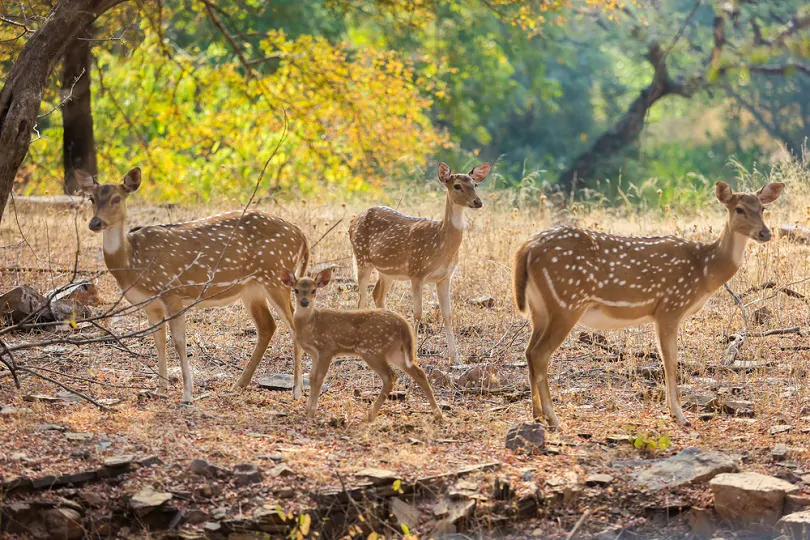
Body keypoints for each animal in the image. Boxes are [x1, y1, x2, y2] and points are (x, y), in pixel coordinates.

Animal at [77, 167, 310, 402]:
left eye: (117, 198)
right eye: (92, 198)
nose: (95, 223)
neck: (131, 261)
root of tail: (301, 235)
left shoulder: (171, 291)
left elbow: (179, 341)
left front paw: (187, 394)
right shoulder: (150, 305)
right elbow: (159, 341)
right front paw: (160, 389)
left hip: (276, 276)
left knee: (292, 326)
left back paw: (297, 390)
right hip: (252, 289)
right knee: (267, 326)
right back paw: (238, 385)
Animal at [280, 268, 442, 424]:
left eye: (314, 290)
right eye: (296, 290)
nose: (304, 302)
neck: (309, 323)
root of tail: (404, 325)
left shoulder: (327, 348)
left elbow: (318, 378)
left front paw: (311, 414)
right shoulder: (315, 354)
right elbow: (312, 376)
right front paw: (307, 411)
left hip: (373, 350)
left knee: (390, 377)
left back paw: (370, 415)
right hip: (395, 351)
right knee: (419, 372)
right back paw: (437, 414)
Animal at [348, 161, 490, 362]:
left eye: (475, 184)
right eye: (457, 186)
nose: (478, 202)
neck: (440, 243)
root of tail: (352, 221)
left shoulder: (445, 277)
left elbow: (447, 315)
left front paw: (455, 358)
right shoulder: (417, 271)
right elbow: (417, 313)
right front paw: (414, 355)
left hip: (387, 270)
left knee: (377, 295)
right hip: (361, 257)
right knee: (361, 299)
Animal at [512, 181, 784, 426]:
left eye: (762, 208)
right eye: (739, 209)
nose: (765, 233)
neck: (705, 269)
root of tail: (526, 248)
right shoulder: (670, 306)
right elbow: (670, 361)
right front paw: (680, 416)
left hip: (539, 308)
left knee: (529, 351)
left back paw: (537, 416)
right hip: (566, 302)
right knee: (540, 353)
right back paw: (554, 419)